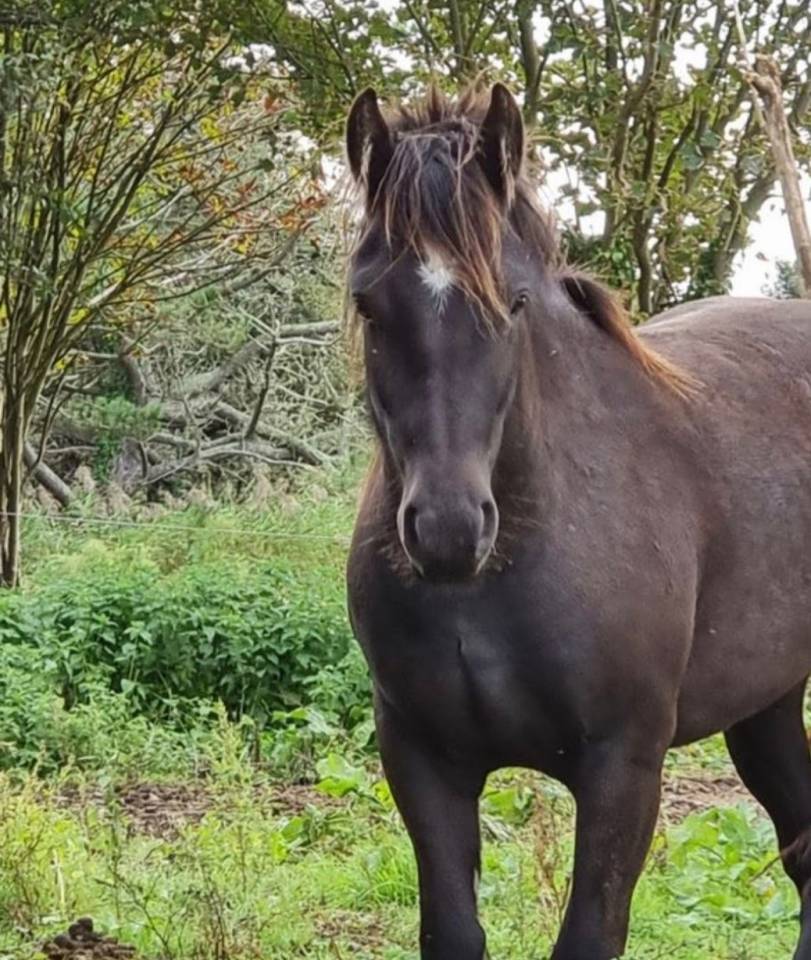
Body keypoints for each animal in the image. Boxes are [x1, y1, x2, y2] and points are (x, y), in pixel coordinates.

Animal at [344, 82, 811, 960]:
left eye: (514, 301)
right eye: (367, 301)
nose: (447, 530)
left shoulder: (622, 769)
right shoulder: (421, 760)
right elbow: (452, 933)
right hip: (766, 701)